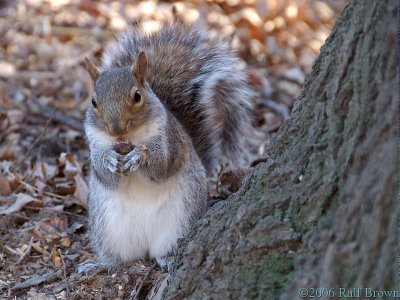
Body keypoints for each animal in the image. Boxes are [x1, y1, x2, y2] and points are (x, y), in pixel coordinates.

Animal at [77, 22, 252, 272]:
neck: (129, 140)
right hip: (107, 228)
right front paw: (109, 160)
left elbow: (162, 166)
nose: (116, 130)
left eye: (137, 96)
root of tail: (144, 245)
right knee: (118, 257)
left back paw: (167, 259)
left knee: (161, 251)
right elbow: (104, 175)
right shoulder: (95, 142)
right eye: (93, 102)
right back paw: (101, 264)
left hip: (180, 220)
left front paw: (139, 157)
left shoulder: (170, 139)